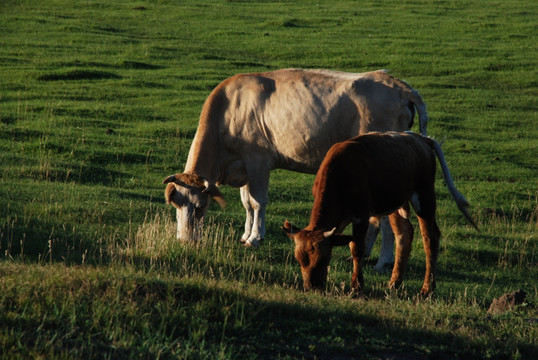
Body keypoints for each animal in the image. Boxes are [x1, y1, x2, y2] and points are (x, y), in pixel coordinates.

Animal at [163, 67, 428, 249]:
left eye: (200, 207)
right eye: (176, 204)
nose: (185, 240)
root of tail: (400, 86)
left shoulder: (258, 161)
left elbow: (258, 202)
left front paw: (255, 238)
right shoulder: (244, 166)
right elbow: (247, 203)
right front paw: (246, 234)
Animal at [278, 132, 476, 296]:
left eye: (323, 258)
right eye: (299, 260)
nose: (311, 287)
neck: (340, 174)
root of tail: (420, 138)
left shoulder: (361, 214)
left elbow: (356, 247)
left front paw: (357, 286)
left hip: (424, 196)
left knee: (430, 237)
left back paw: (427, 289)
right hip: (397, 202)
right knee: (404, 233)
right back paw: (394, 283)